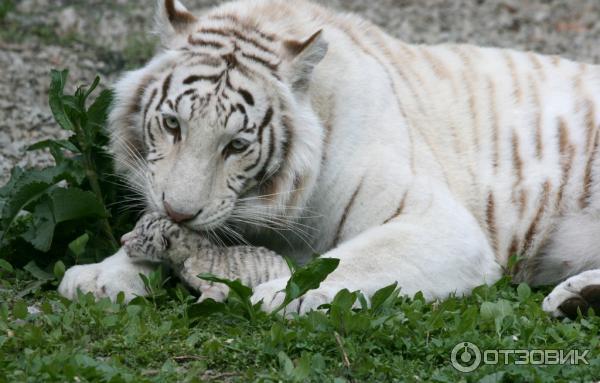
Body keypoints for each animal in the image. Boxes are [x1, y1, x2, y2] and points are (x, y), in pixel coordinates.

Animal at [57, 0, 600, 318]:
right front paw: (101, 277)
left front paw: (274, 293)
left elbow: (347, 261)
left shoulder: (438, 224)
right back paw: (576, 297)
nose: (179, 211)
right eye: (173, 125)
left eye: (237, 145)